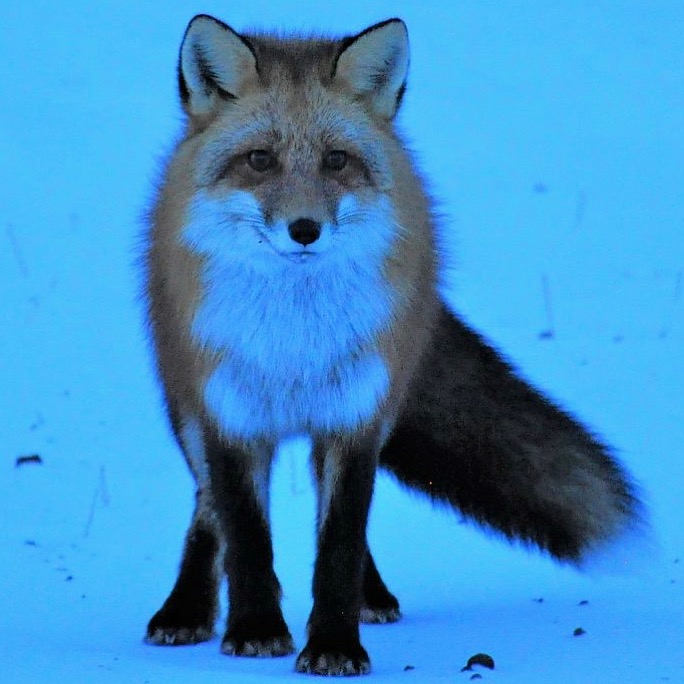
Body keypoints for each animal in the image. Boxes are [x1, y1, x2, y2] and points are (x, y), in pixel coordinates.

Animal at [141, 14, 643, 676]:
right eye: (259, 160)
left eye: (335, 160)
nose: (305, 229)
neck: (294, 341)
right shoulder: (229, 413)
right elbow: (245, 536)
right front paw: (255, 631)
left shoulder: (356, 416)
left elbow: (340, 543)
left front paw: (333, 643)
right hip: (187, 412)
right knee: (206, 512)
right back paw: (185, 610)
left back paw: (371, 596)